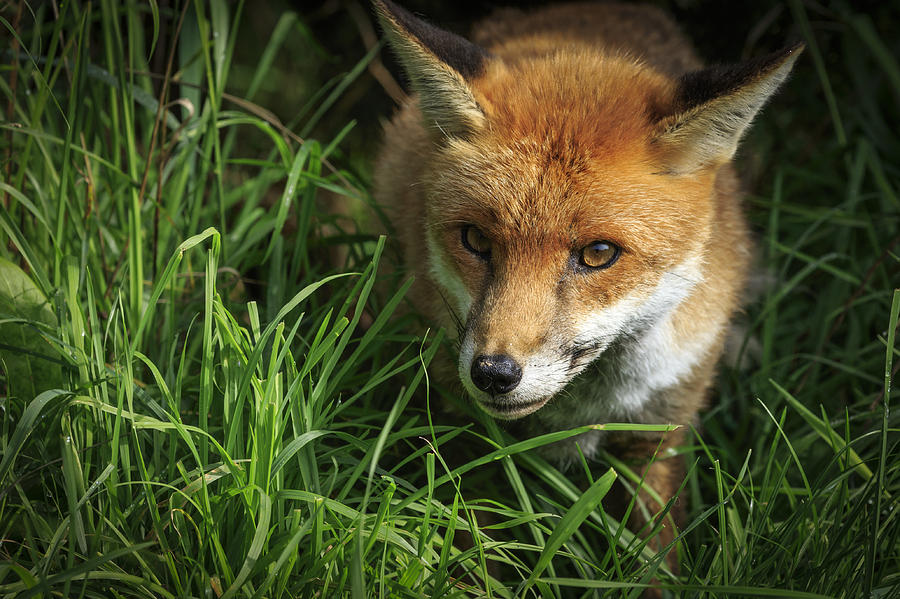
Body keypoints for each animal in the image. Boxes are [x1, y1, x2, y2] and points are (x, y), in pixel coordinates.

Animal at [370, 0, 800, 568]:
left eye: (598, 254)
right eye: (476, 240)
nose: (493, 374)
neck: (579, 413)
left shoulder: (657, 440)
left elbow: (657, 560)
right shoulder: (460, 432)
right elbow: (469, 551)